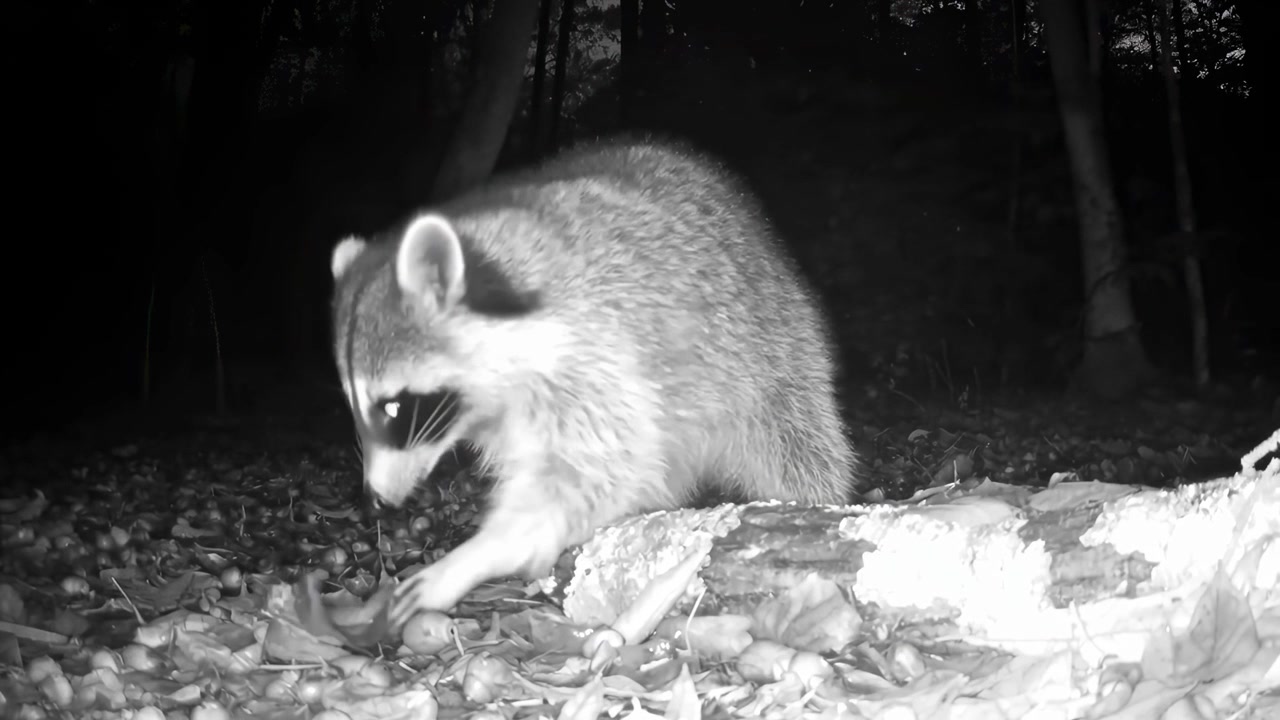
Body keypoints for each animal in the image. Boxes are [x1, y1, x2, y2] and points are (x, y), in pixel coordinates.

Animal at [330, 141, 859, 626]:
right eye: (353, 406)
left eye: (393, 408)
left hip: (772, 351)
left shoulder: (592, 355)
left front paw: (485, 550)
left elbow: (601, 469)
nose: (374, 502)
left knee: (797, 450)